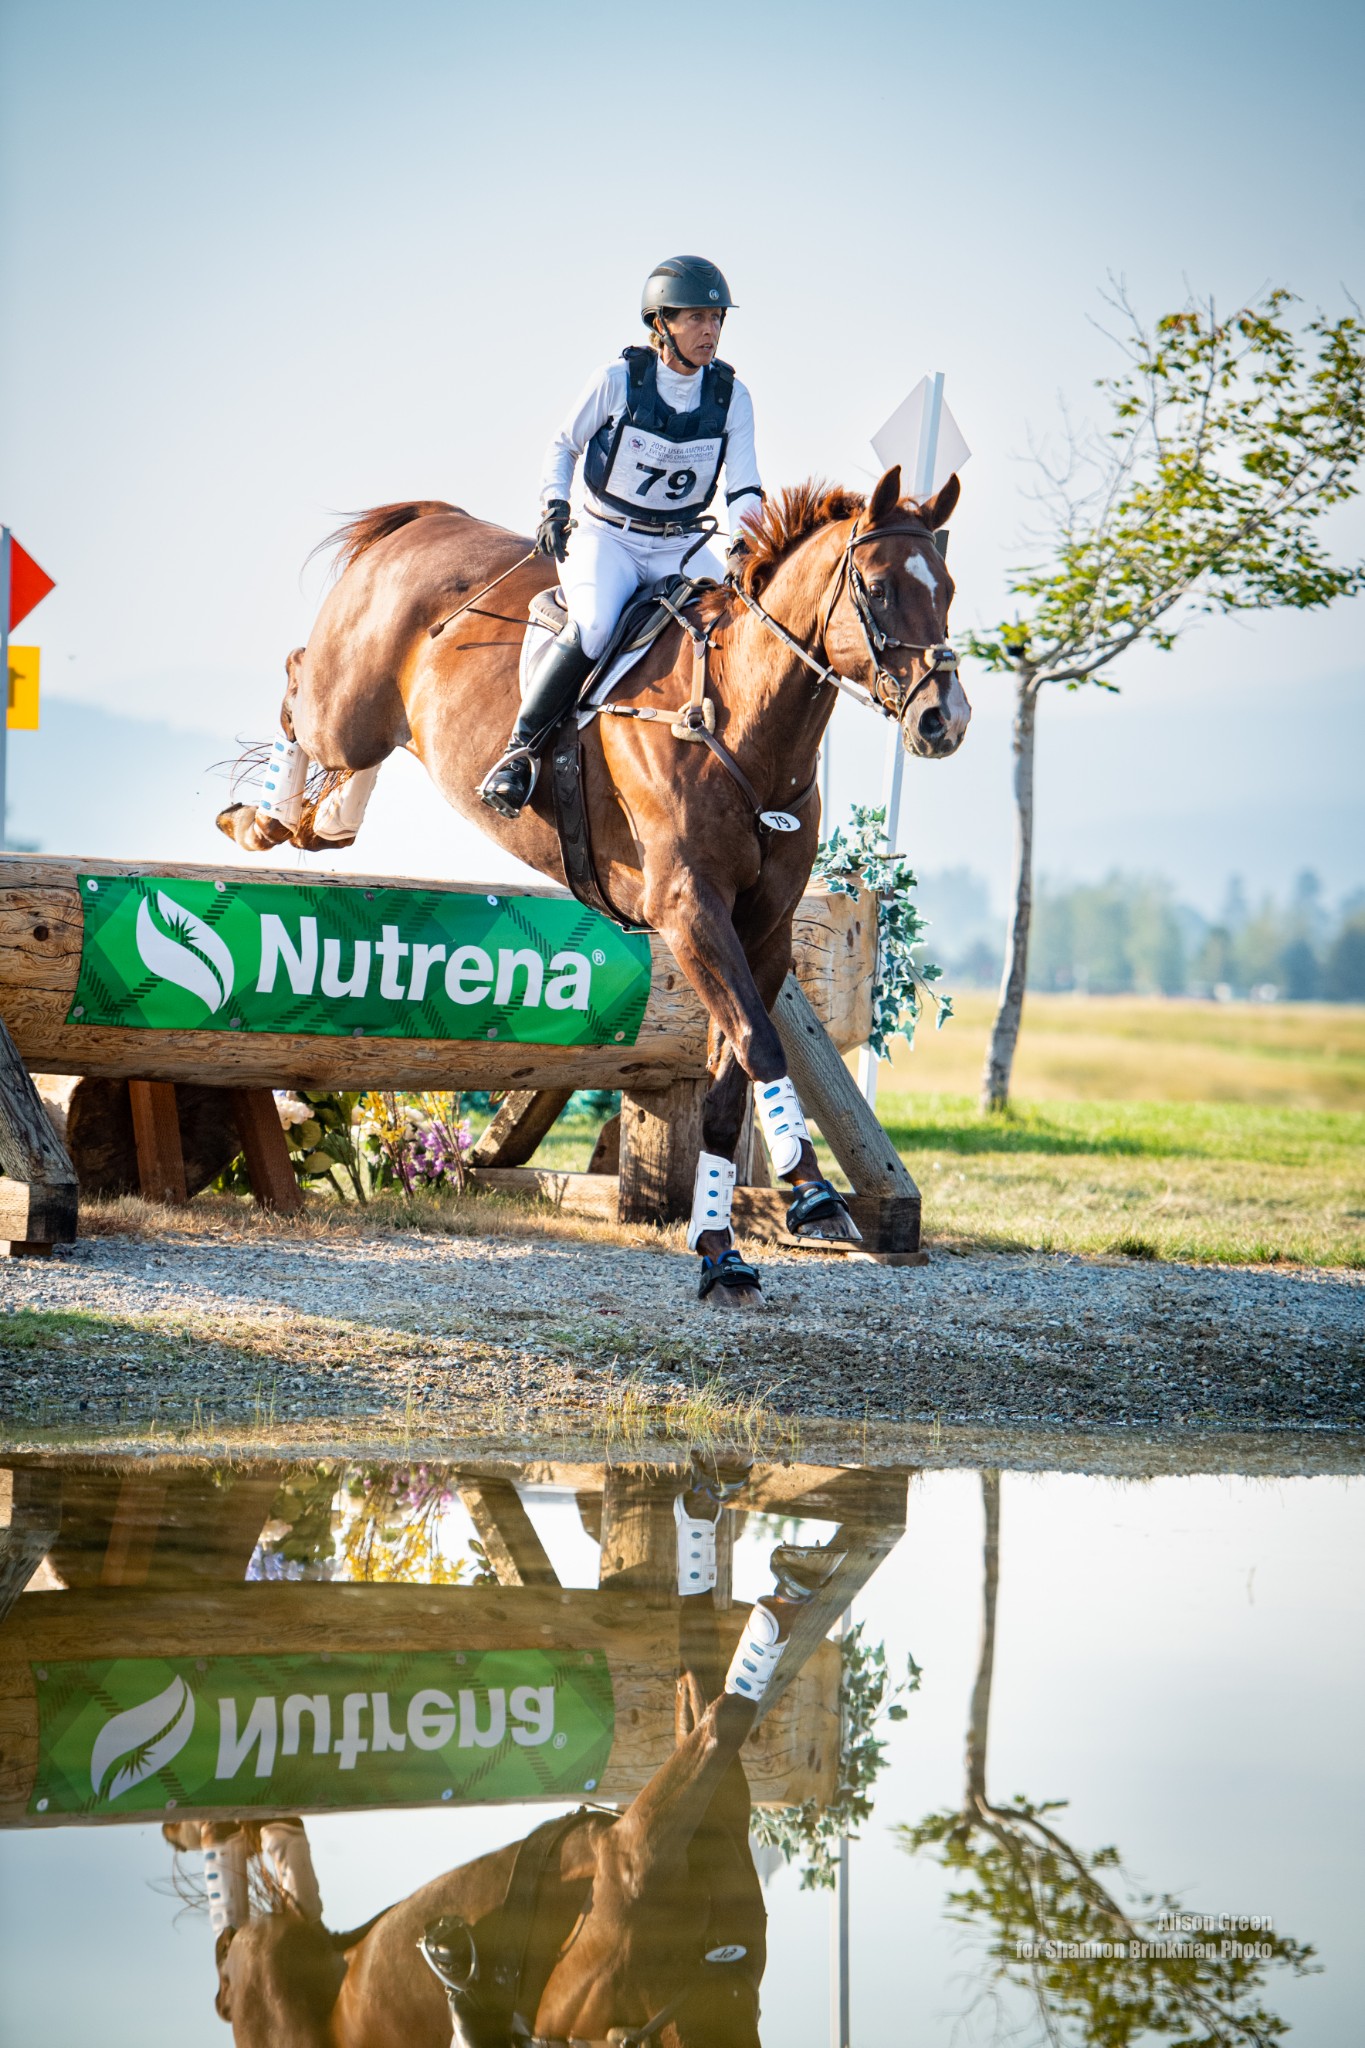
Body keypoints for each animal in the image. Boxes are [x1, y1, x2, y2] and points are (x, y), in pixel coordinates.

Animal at [217, 465, 970, 1303]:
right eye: (875, 587)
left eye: (947, 588)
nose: (944, 721)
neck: (741, 722)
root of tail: (428, 519)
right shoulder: (687, 909)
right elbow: (761, 1043)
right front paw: (811, 1195)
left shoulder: (765, 931)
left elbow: (728, 1084)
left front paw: (721, 1252)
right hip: (346, 708)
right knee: (298, 685)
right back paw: (263, 820)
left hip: (375, 725)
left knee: (342, 755)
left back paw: (325, 822)